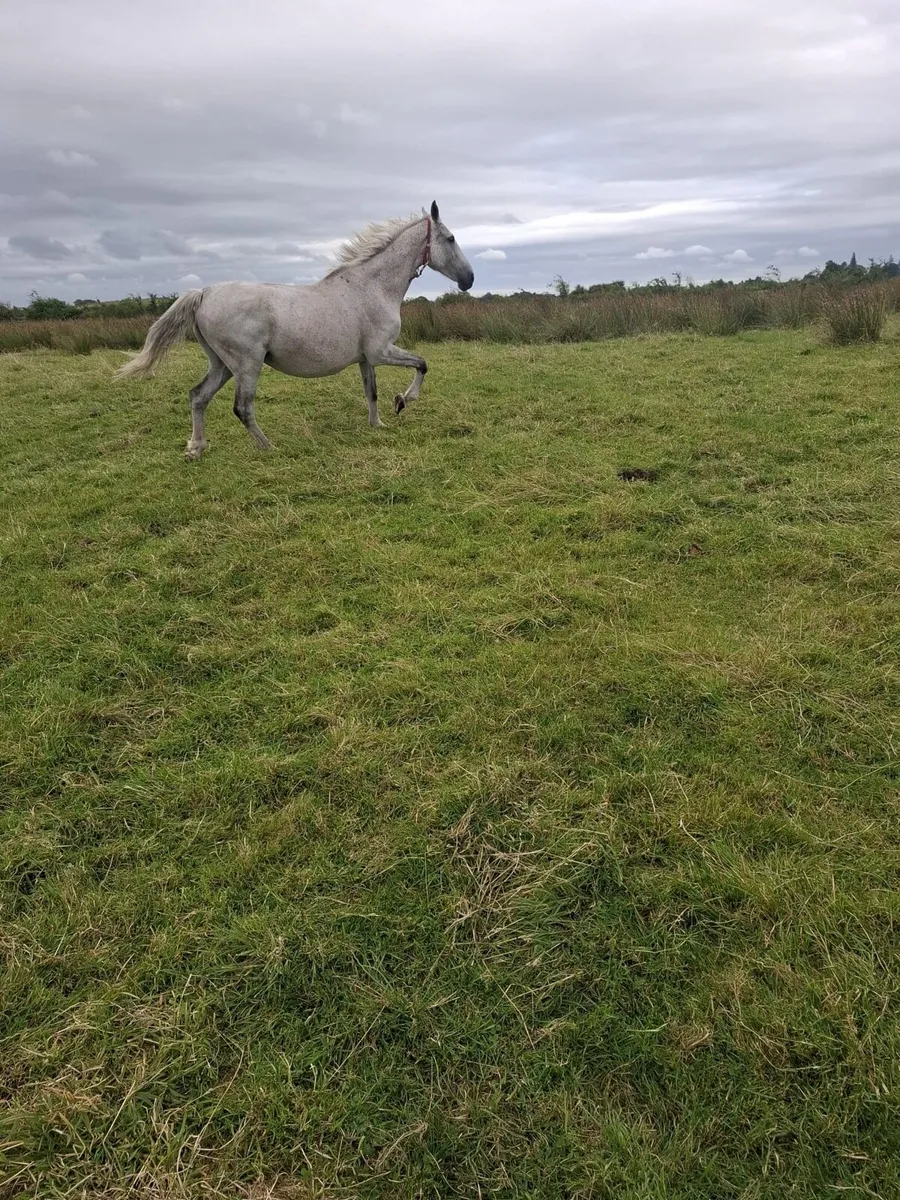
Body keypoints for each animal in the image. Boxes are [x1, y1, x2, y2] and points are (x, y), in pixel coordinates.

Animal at [116, 202, 475, 460]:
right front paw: (402, 401)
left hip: (222, 365)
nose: (469, 279)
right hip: (247, 364)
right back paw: (269, 447)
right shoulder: (381, 351)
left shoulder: (365, 358)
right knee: (242, 408)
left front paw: (378, 423)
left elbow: (370, 392)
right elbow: (422, 364)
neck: (372, 287)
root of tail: (203, 293)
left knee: (198, 397)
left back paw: (196, 448)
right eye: (451, 239)